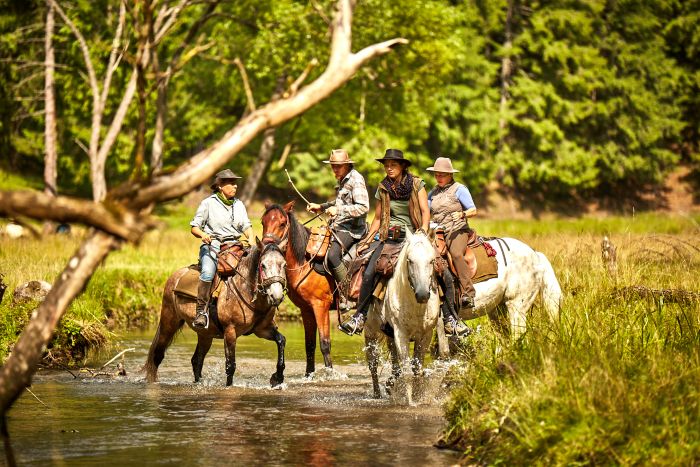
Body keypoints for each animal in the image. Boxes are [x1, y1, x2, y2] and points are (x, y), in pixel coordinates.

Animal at [144, 239, 288, 390]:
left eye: (284, 265)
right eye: (263, 265)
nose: (276, 296)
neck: (246, 290)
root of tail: (176, 276)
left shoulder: (263, 330)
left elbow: (281, 340)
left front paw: (277, 378)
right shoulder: (230, 331)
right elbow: (230, 366)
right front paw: (229, 387)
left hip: (205, 335)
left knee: (197, 360)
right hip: (169, 322)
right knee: (157, 355)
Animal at [262, 201, 334, 376]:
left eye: (282, 223)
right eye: (262, 222)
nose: (267, 246)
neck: (306, 263)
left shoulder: (321, 306)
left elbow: (325, 343)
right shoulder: (306, 309)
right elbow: (310, 345)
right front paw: (309, 376)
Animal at [364, 230, 440, 402]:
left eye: (432, 260)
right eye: (410, 261)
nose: (423, 294)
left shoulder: (426, 335)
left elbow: (417, 369)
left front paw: (418, 397)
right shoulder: (401, 334)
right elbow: (406, 369)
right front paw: (409, 400)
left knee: (393, 359)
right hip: (371, 331)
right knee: (373, 362)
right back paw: (377, 394)